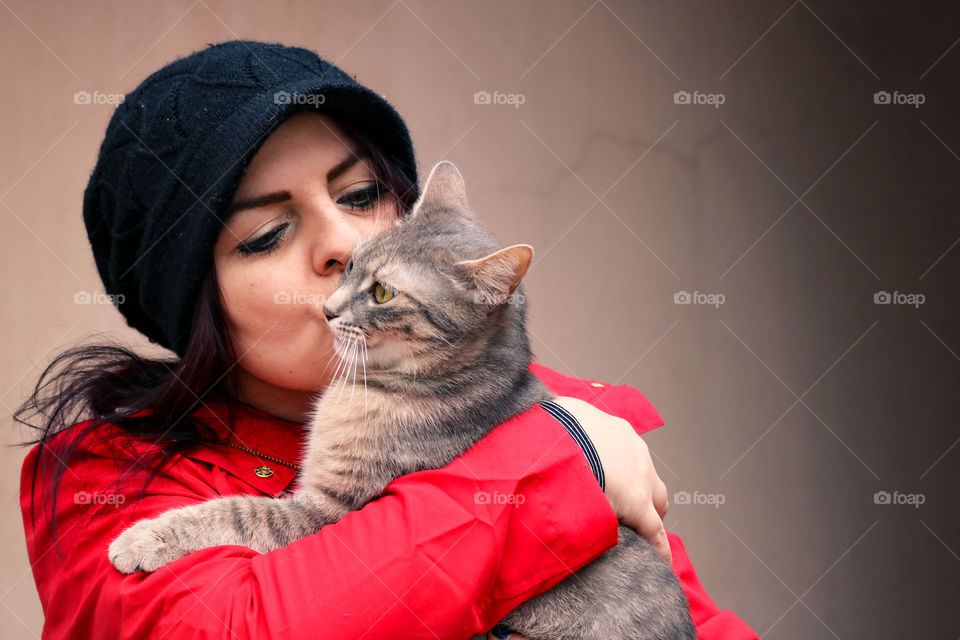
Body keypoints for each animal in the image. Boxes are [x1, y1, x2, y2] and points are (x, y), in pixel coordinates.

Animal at [109, 161, 696, 640]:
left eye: (384, 293)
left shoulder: (331, 512)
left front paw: (142, 538)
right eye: (349, 266)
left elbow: (237, 512)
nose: (327, 309)